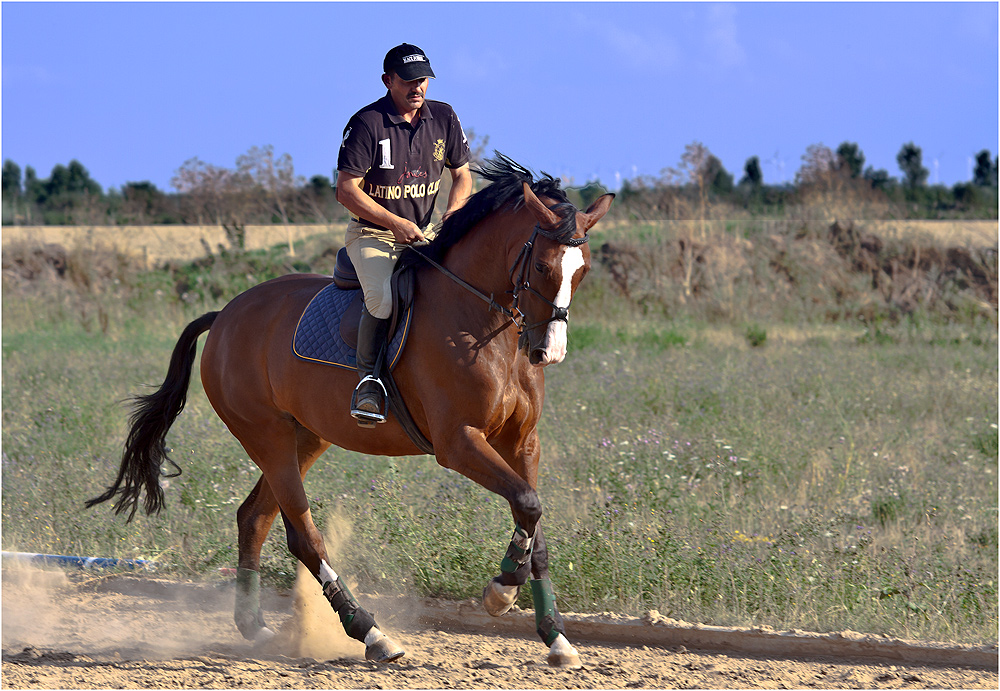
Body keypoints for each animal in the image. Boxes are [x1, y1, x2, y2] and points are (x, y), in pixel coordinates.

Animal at [88, 154, 616, 668]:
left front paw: (555, 636)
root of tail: (225, 317)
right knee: (302, 536)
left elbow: (533, 519)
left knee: (254, 517)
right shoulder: (459, 441)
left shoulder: (522, 442)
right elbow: (527, 503)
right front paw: (500, 592)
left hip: (305, 437)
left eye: (583, 271)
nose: (549, 351)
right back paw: (372, 633)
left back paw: (254, 626)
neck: (483, 325)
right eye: (543, 267)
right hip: (266, 436)